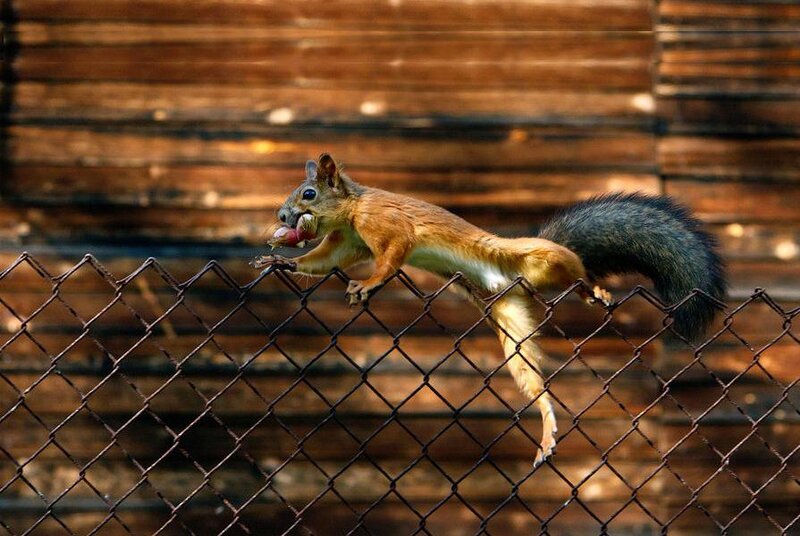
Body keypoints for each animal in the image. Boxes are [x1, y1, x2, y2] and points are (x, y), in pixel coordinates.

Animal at [252, 153, 727, 465]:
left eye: (309, 193)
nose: (282, 216)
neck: (354, 209)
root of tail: (511, 280)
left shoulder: (388, 228)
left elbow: (391, 259)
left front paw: (368, 284)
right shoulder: (347, 242)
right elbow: (322, 261)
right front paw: (281, 262)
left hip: (543, 260)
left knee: (578, 273)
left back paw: (594, 290)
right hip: (512, 323)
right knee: (533, 378)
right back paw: (547, 427)